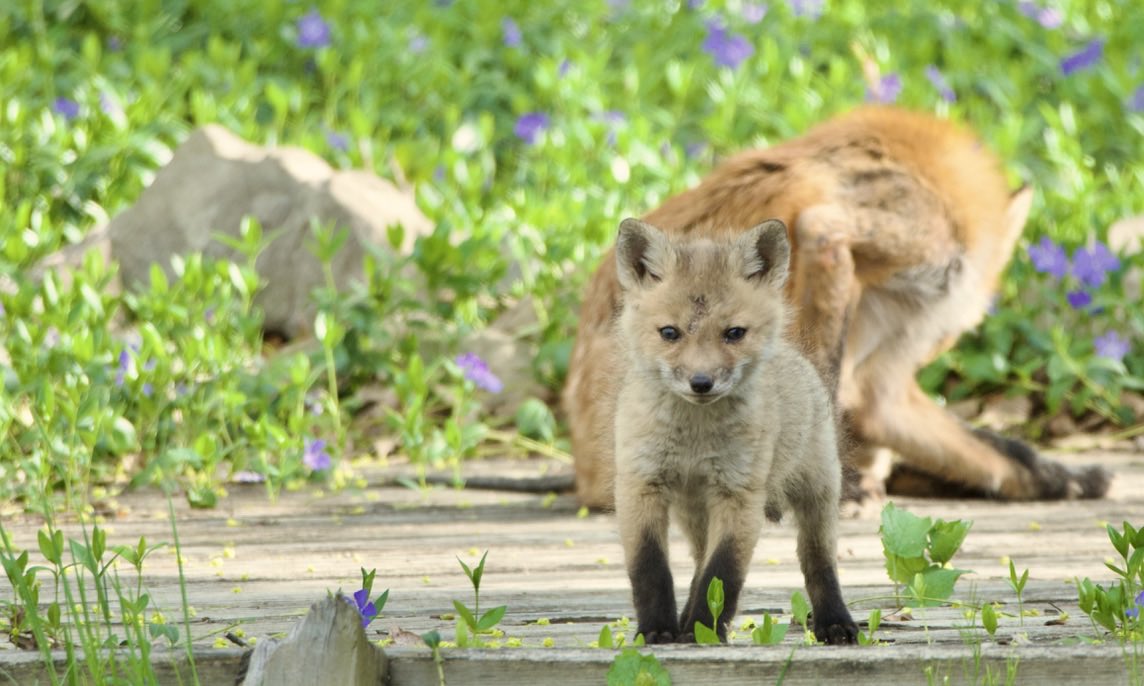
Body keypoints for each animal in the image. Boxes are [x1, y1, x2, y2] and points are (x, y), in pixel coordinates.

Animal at [562, 104, 1107, 505]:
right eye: (951, 334)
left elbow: (1001, 451)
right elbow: (830, 388)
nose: (941, 341)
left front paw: (1064, 479)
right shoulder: (869, 233)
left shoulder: (888, 369)